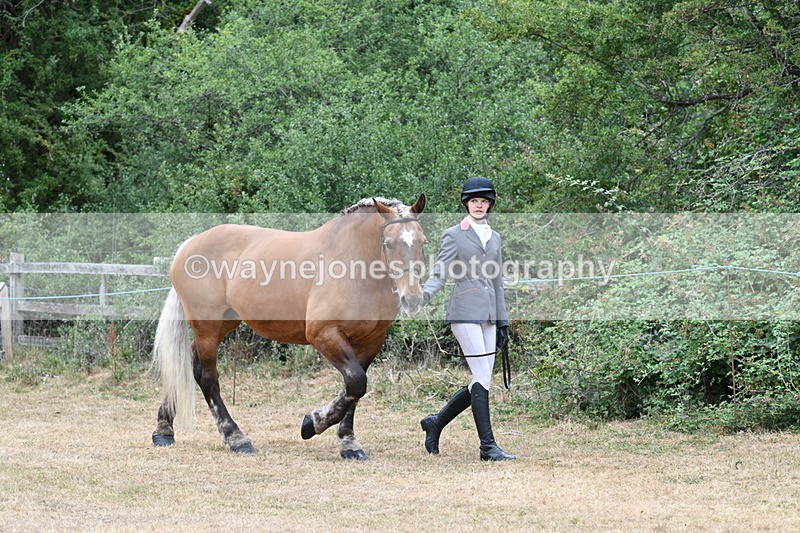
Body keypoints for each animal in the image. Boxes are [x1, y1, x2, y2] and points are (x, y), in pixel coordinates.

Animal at [151, 195, 427, 460]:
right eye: (389, 243)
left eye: (422, 242)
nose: (412, 299)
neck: (353, 265)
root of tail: (189, 245)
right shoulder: (323, 334)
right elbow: (356, 382)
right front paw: (313, 423)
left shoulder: (371, 341)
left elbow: (355, 390)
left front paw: (348, 442)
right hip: (207, 328)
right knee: (207, 377)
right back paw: (236, 438)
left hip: (222, 325)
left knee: (187, 365)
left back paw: (164, 430)